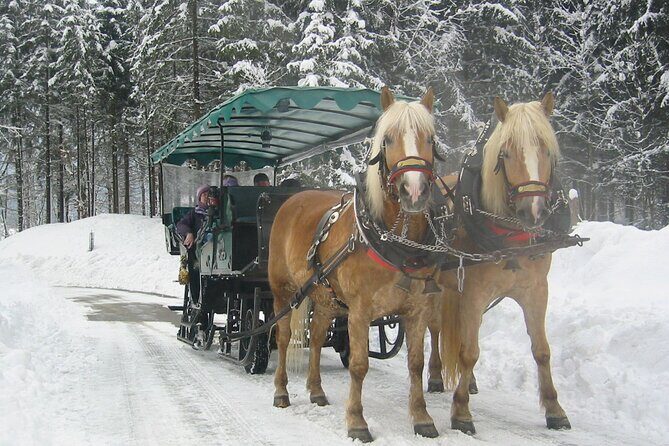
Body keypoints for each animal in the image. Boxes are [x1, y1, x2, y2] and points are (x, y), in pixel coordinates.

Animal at [268, 86, 440, 442]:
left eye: (430, 138)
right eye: (387, 139)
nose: (414, 190)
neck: (393, 241)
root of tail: (294, 198)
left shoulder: (417, 310)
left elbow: (415, 364)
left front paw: (422, 418)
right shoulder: (360, 311)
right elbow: (360, 365)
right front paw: (357, 421)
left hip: (325, 297)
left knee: (317, 337)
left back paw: (316, 390)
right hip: (282, 291)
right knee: (282, 336)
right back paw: (281, 391)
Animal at [437, 92, 572, 434]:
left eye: (547, 150)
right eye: (506, 153)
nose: (533, 210)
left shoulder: (536, 290)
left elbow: (542, 351)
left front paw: (554, 409)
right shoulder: (473, 292)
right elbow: (469, 352)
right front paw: (461, 412)